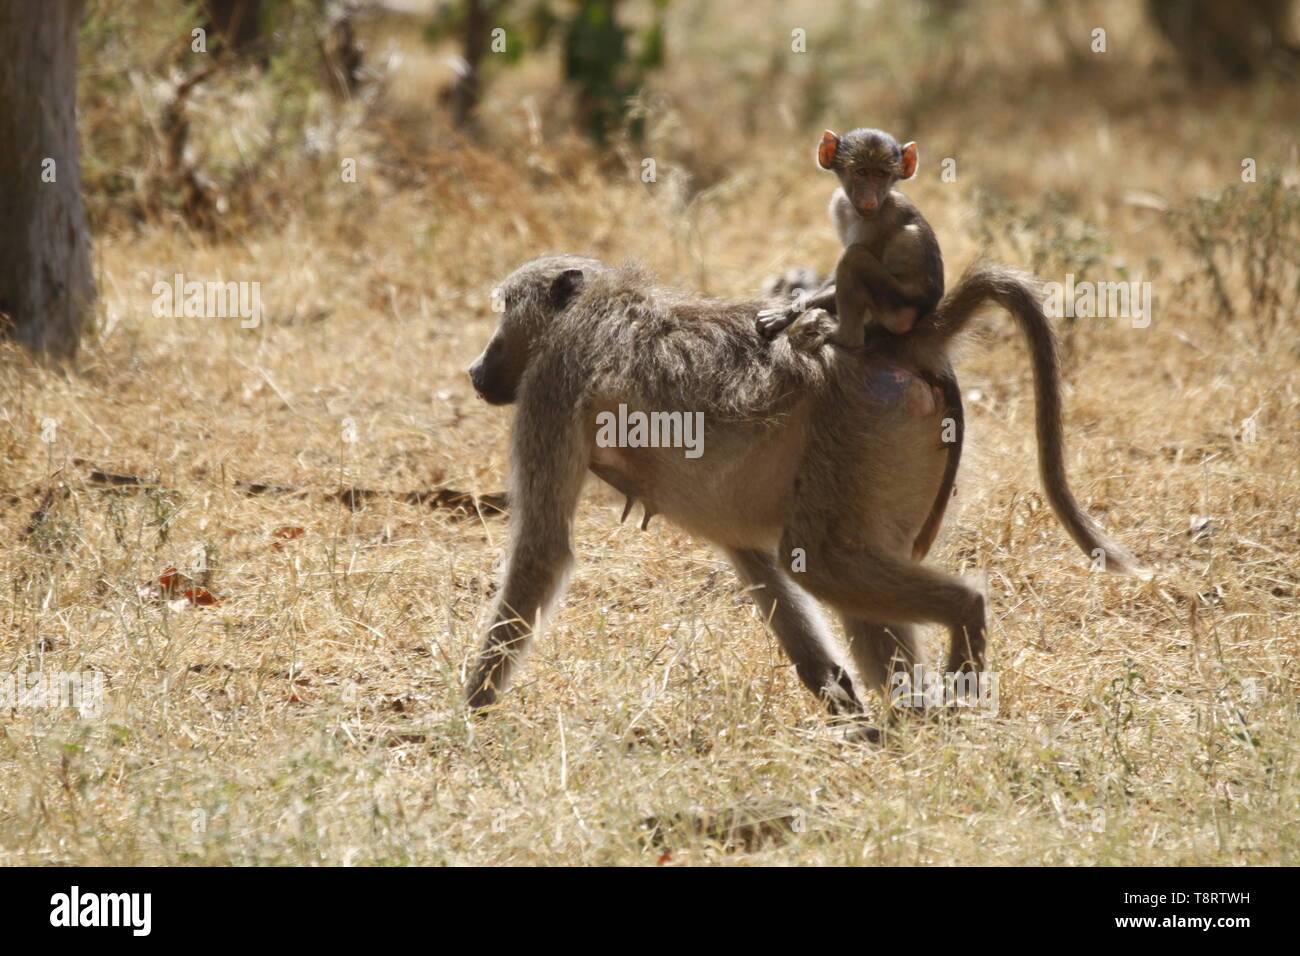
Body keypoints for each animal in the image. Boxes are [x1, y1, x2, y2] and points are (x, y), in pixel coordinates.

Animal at [464, 254, 1146, 736]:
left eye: (504, 312)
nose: (474, 371)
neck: (600, 304)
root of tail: (901, 343)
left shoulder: (551, 382)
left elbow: (543, 549)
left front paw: (468, 712)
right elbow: (754, 560)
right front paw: (837, 696)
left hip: (857, 427)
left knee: (823, 561)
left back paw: (964, 624)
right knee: (845, 572)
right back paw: (912, 722)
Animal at [757, 128, 945, 347]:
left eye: (881, 174)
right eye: (861, 172)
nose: (869, 200)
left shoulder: (876, 224)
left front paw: (783, 314)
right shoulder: (839, 203)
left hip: (896, 308)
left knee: (853, 258)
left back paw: (843, 336)